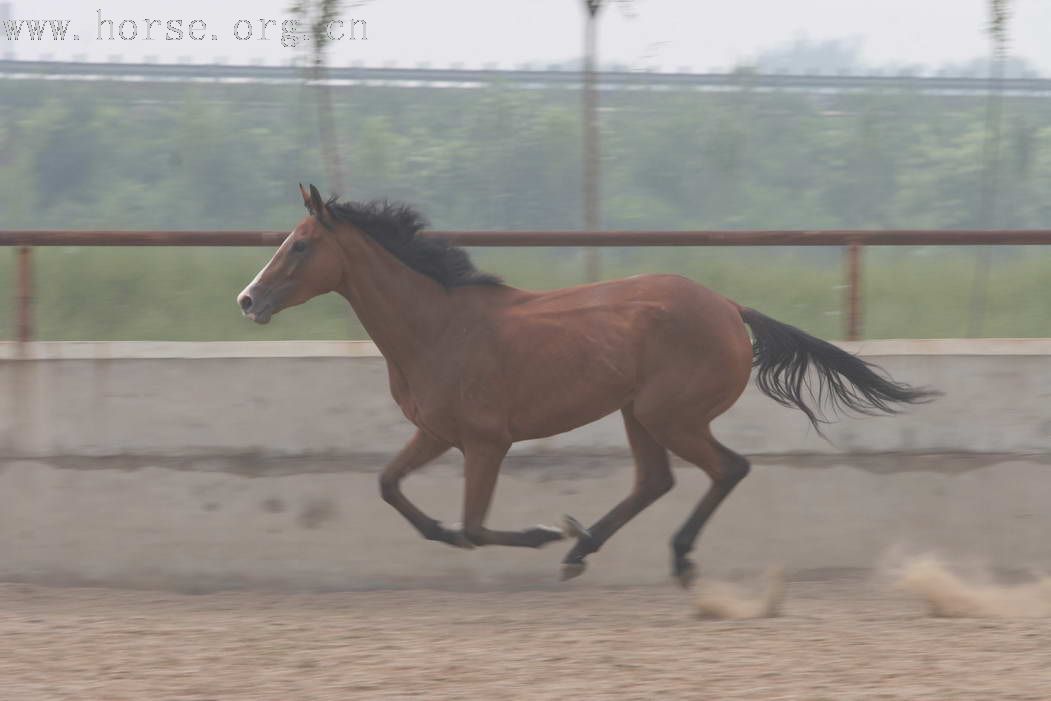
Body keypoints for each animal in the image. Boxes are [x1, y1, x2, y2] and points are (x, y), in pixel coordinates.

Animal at [240, 186, 937, 588]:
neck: (438, 325)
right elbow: (390, 487)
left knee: (727, 468)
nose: (248, 300)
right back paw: (586, 548)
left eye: (299, 245)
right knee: (656, 481)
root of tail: (729, 307)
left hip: (671, 414)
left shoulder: (486, 442)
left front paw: (543, 533)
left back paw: (668, 556)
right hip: (638, 414)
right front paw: (482, 533)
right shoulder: (437, 432)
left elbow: (475, 525)